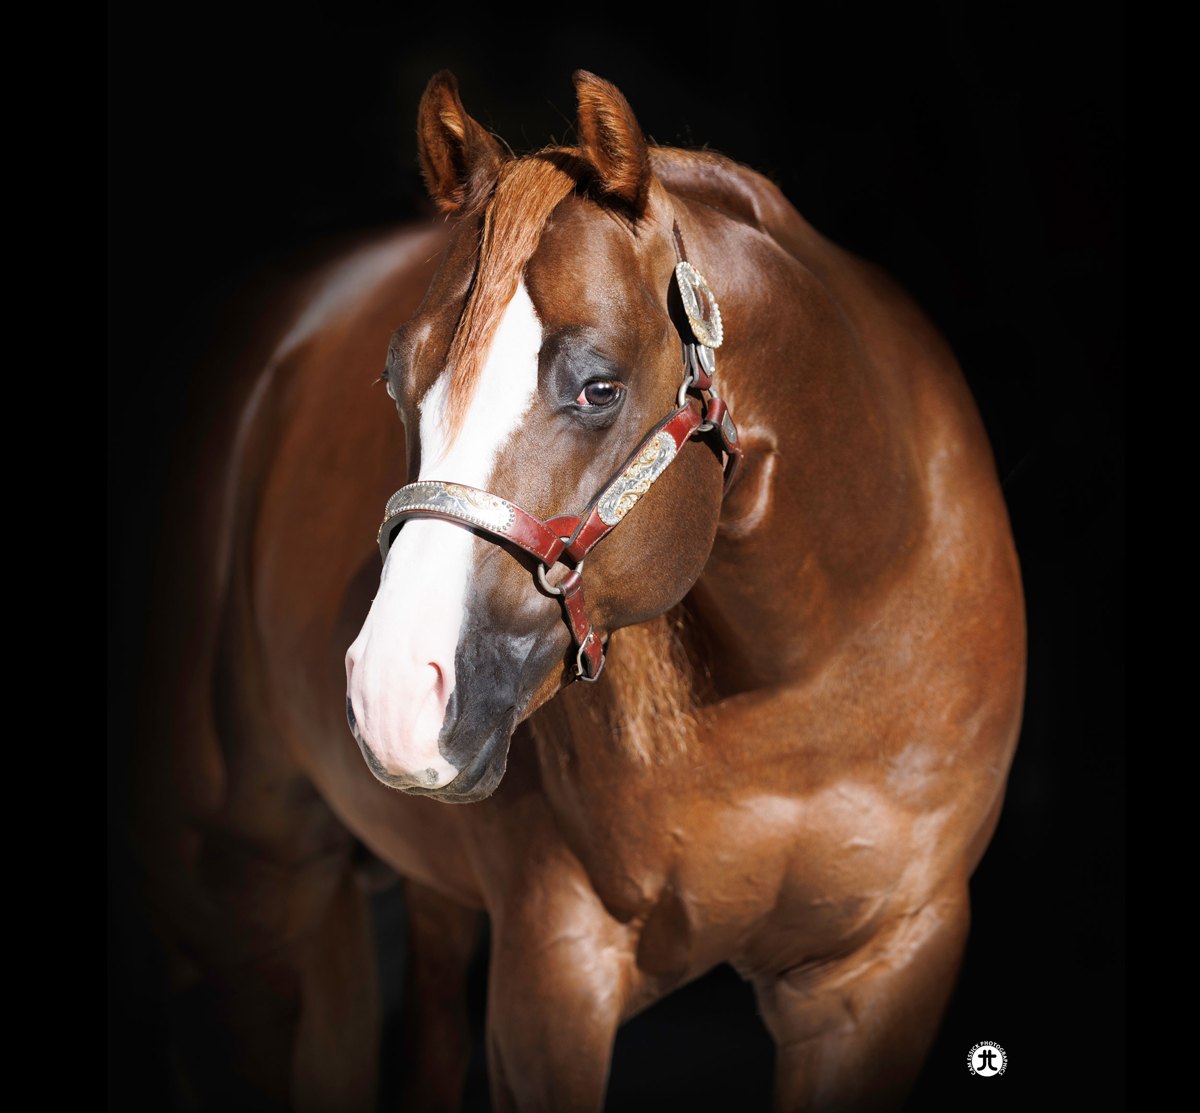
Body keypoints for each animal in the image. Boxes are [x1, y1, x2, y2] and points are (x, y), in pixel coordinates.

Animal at [130, 70, 1026, 1111]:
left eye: (599, 387)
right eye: (397, 380)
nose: (395, 693)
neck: (807, 669)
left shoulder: (880, 970)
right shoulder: (555, 971)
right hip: (250, 915)